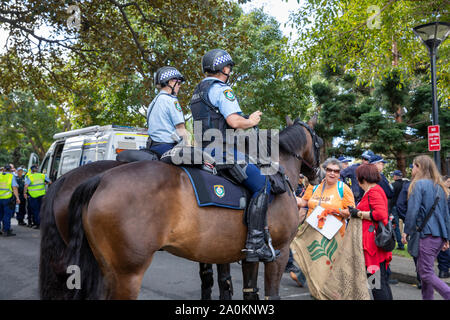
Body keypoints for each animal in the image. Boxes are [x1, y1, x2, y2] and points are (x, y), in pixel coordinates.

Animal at [42, 118, 320, 300]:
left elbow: (236, 288)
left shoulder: (236, 254)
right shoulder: (279, 252)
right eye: (318, 140)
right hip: (126, 274)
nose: (316, 175)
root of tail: (99, 179)